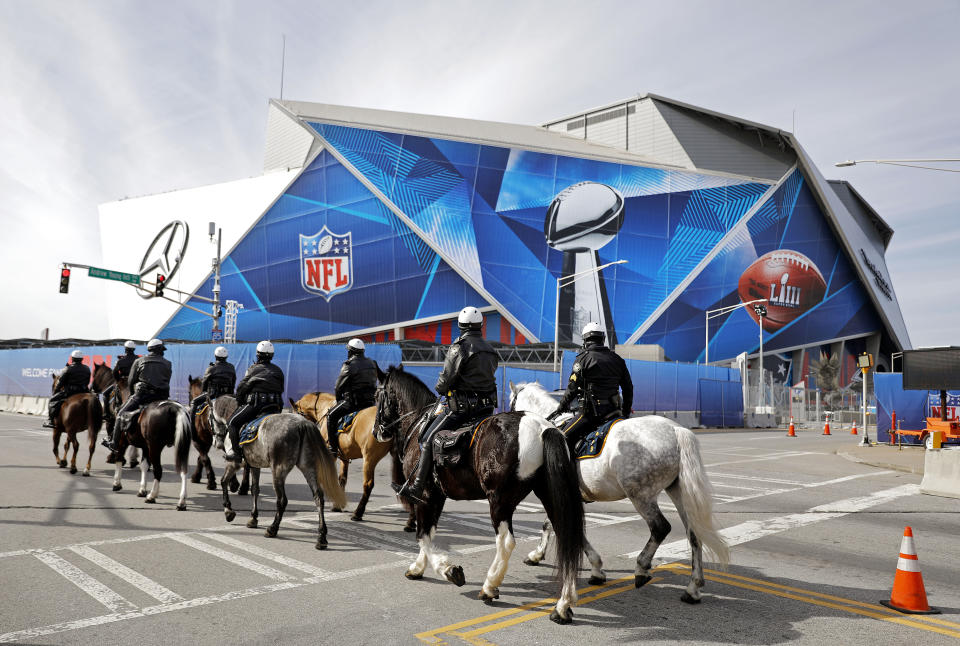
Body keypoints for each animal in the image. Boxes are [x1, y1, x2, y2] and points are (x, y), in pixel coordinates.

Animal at [210, 394, 344, 552]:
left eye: (210, 418)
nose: (216, 442)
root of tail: (303, 425)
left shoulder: (234, 463)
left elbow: (224, 482)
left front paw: (228, 511)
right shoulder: (255, 465)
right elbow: (255, 489)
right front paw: (253, 518)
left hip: (278, 470)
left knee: (282, 500)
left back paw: (272, 529)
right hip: (308, 468)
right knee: (318, 497)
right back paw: (321, 537)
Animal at [290, 392, 400, 524]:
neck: (324, 408)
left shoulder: (330, 456)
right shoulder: (344, 458)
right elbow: (342, 479)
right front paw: (338, 505)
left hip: (369, 458)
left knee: (368, 485)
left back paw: (358, 513)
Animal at [376, 370, 584, 628]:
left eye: (377, 396)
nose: (377, 431)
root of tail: (542, 428)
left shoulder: (425, 495)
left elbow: (422, 536)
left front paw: (447, 570)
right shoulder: (437, 497)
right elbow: (429, 533)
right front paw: (419, 567)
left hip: (499, 501)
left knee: (506, 543)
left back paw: (490, 587)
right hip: (548, 496)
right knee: (567, 537)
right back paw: (563, 605)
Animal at [510, 382, 728, 604]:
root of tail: (675, 430)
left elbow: (563, 527)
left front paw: (596, 568)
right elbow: (552, 524)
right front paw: (538, 555)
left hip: (640, 495)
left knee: (660, 528)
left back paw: (642, 569)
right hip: (678, 492)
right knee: (694, 534)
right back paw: (693, 588)